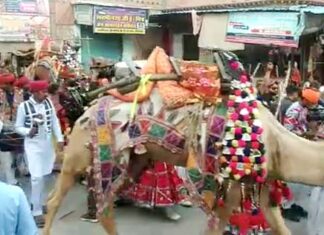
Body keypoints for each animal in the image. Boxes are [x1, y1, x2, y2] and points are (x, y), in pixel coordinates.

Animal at [42, 47, 324, 235]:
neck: (275, 141)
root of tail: (86, 109)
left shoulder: (262, 183)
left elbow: (280, 226)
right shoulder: (227, 183)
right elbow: (215, 227)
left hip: (131, 160)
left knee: (104, 207)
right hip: (83, 152)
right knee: (57, 199)